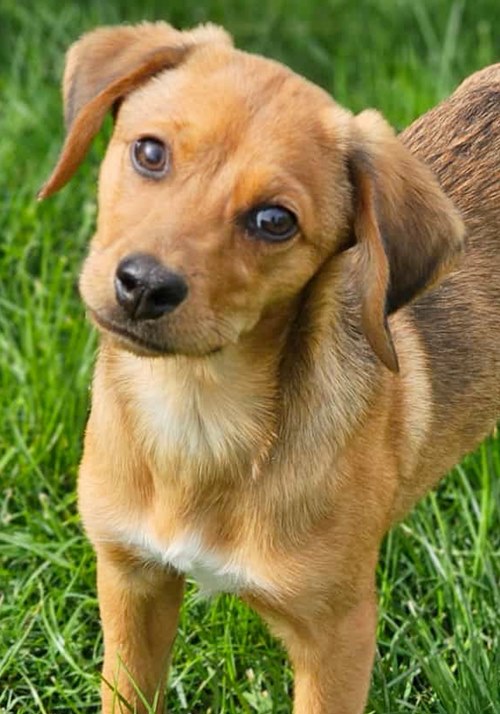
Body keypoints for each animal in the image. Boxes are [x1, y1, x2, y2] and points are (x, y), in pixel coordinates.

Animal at [39, 21, 500, 714]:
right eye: (149, 152)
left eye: (274, 220)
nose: (143, 286)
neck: (197, 419)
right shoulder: (131, 582)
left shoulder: (337, 637)